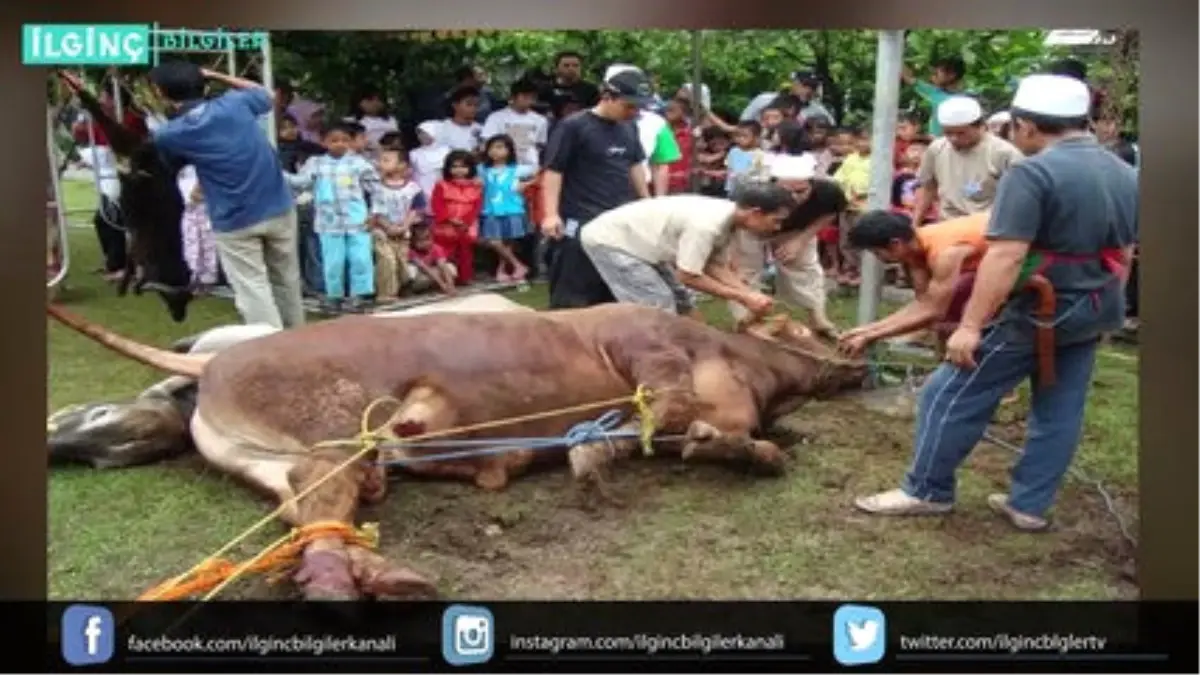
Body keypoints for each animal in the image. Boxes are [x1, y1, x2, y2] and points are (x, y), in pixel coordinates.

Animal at [46, 296, 868, 595]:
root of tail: (209, 365)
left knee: (306, 511)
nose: (854, 358)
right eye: (801, 324)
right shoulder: (644, 346)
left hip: (274, 460)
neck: (749, 370)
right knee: (324, 505)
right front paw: (591, 455)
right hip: (335, 430)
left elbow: (734, 443)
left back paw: (376, 572)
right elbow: (670, 407)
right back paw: (353, 582)